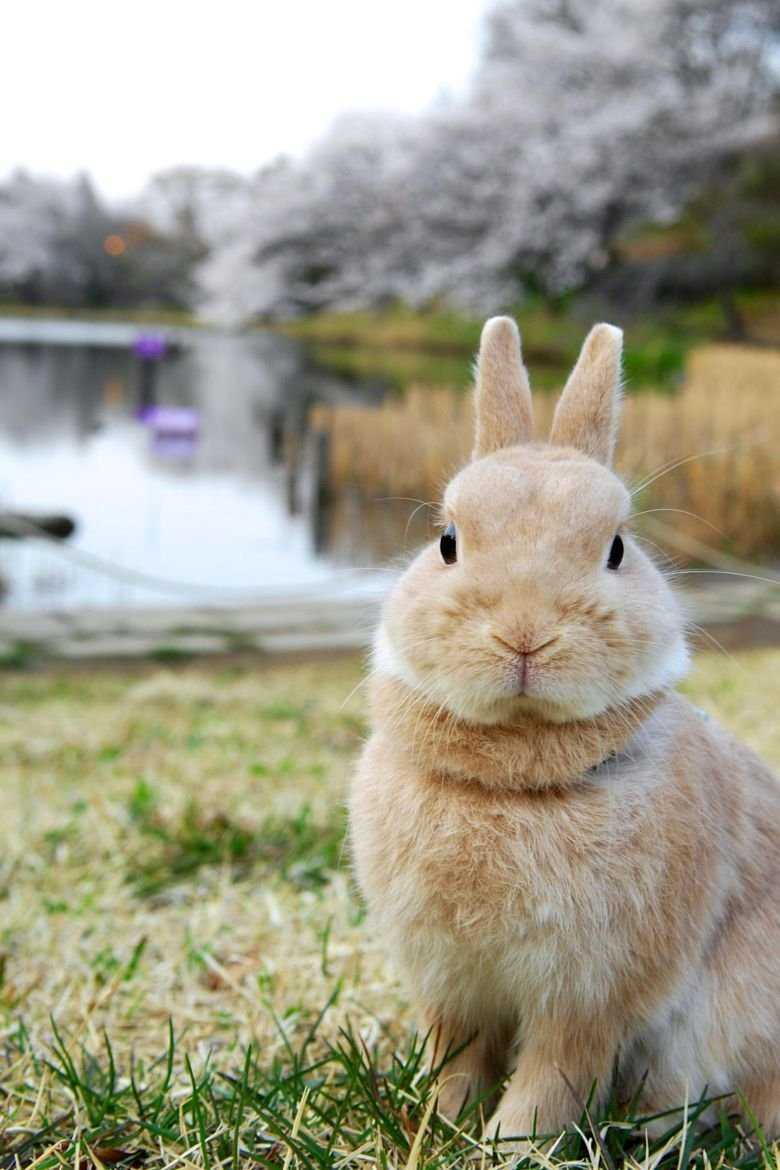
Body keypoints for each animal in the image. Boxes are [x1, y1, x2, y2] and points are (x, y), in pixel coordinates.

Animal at [348, 318, 780, 1151]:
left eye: (616, 548)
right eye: (447, 540)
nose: (525, 635)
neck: (513, 780)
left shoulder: (590, 996)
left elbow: (553, 1077)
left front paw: (506, 1147)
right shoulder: (453, 987)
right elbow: (458, 1060)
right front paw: (441, 1129)